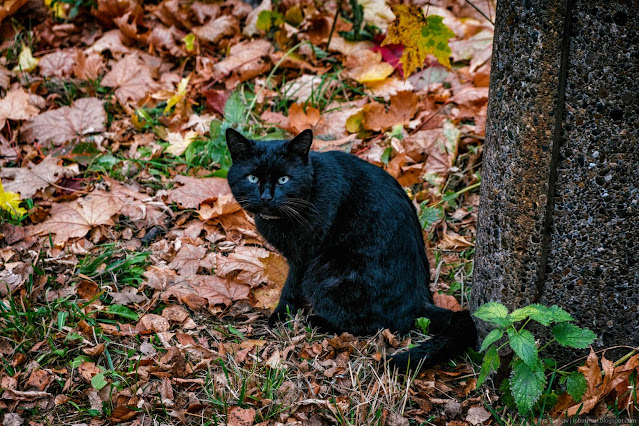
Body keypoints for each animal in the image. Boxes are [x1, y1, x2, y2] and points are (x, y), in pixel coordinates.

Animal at [224, 127, 476, 370]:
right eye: (252, 178)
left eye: (284, 179)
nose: (266, 196)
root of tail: (419, 301)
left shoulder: (304, 256)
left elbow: (291, 286)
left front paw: (280, 315)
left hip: (327, 269)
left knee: (380, 323)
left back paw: (319, 322)